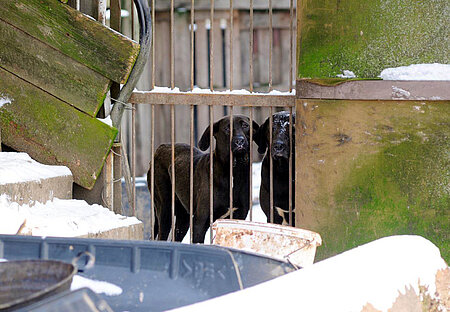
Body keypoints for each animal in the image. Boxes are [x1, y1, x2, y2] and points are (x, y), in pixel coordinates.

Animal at [149, 115, 258, 244]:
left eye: (245, 125)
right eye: (227, 129)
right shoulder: (200, 222)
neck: (233, 172)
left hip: (183, 218)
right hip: (165, 210)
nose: (239, 141)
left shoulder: (238, 218)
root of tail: (160, 148)